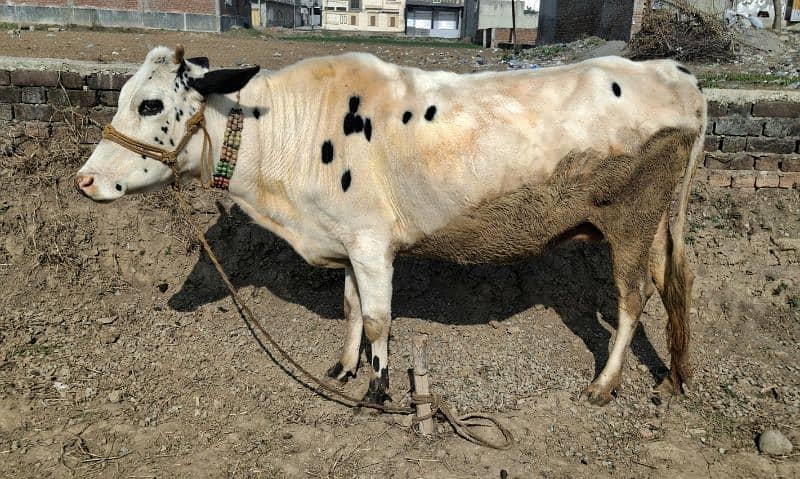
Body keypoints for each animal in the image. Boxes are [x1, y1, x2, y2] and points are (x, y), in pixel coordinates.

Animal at [76, 45, 708, 406]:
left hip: (628, 219)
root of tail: (675, 72)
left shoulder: (370, 241)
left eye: (151, 104)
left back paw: (605, 384)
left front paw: (378, 390)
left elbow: (379, 319)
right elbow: (352, 307)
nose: (84, 180)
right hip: (654, 223)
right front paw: (345, 367)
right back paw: (673, 377)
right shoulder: (345, 240)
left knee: (632, 298)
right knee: (671, 282)